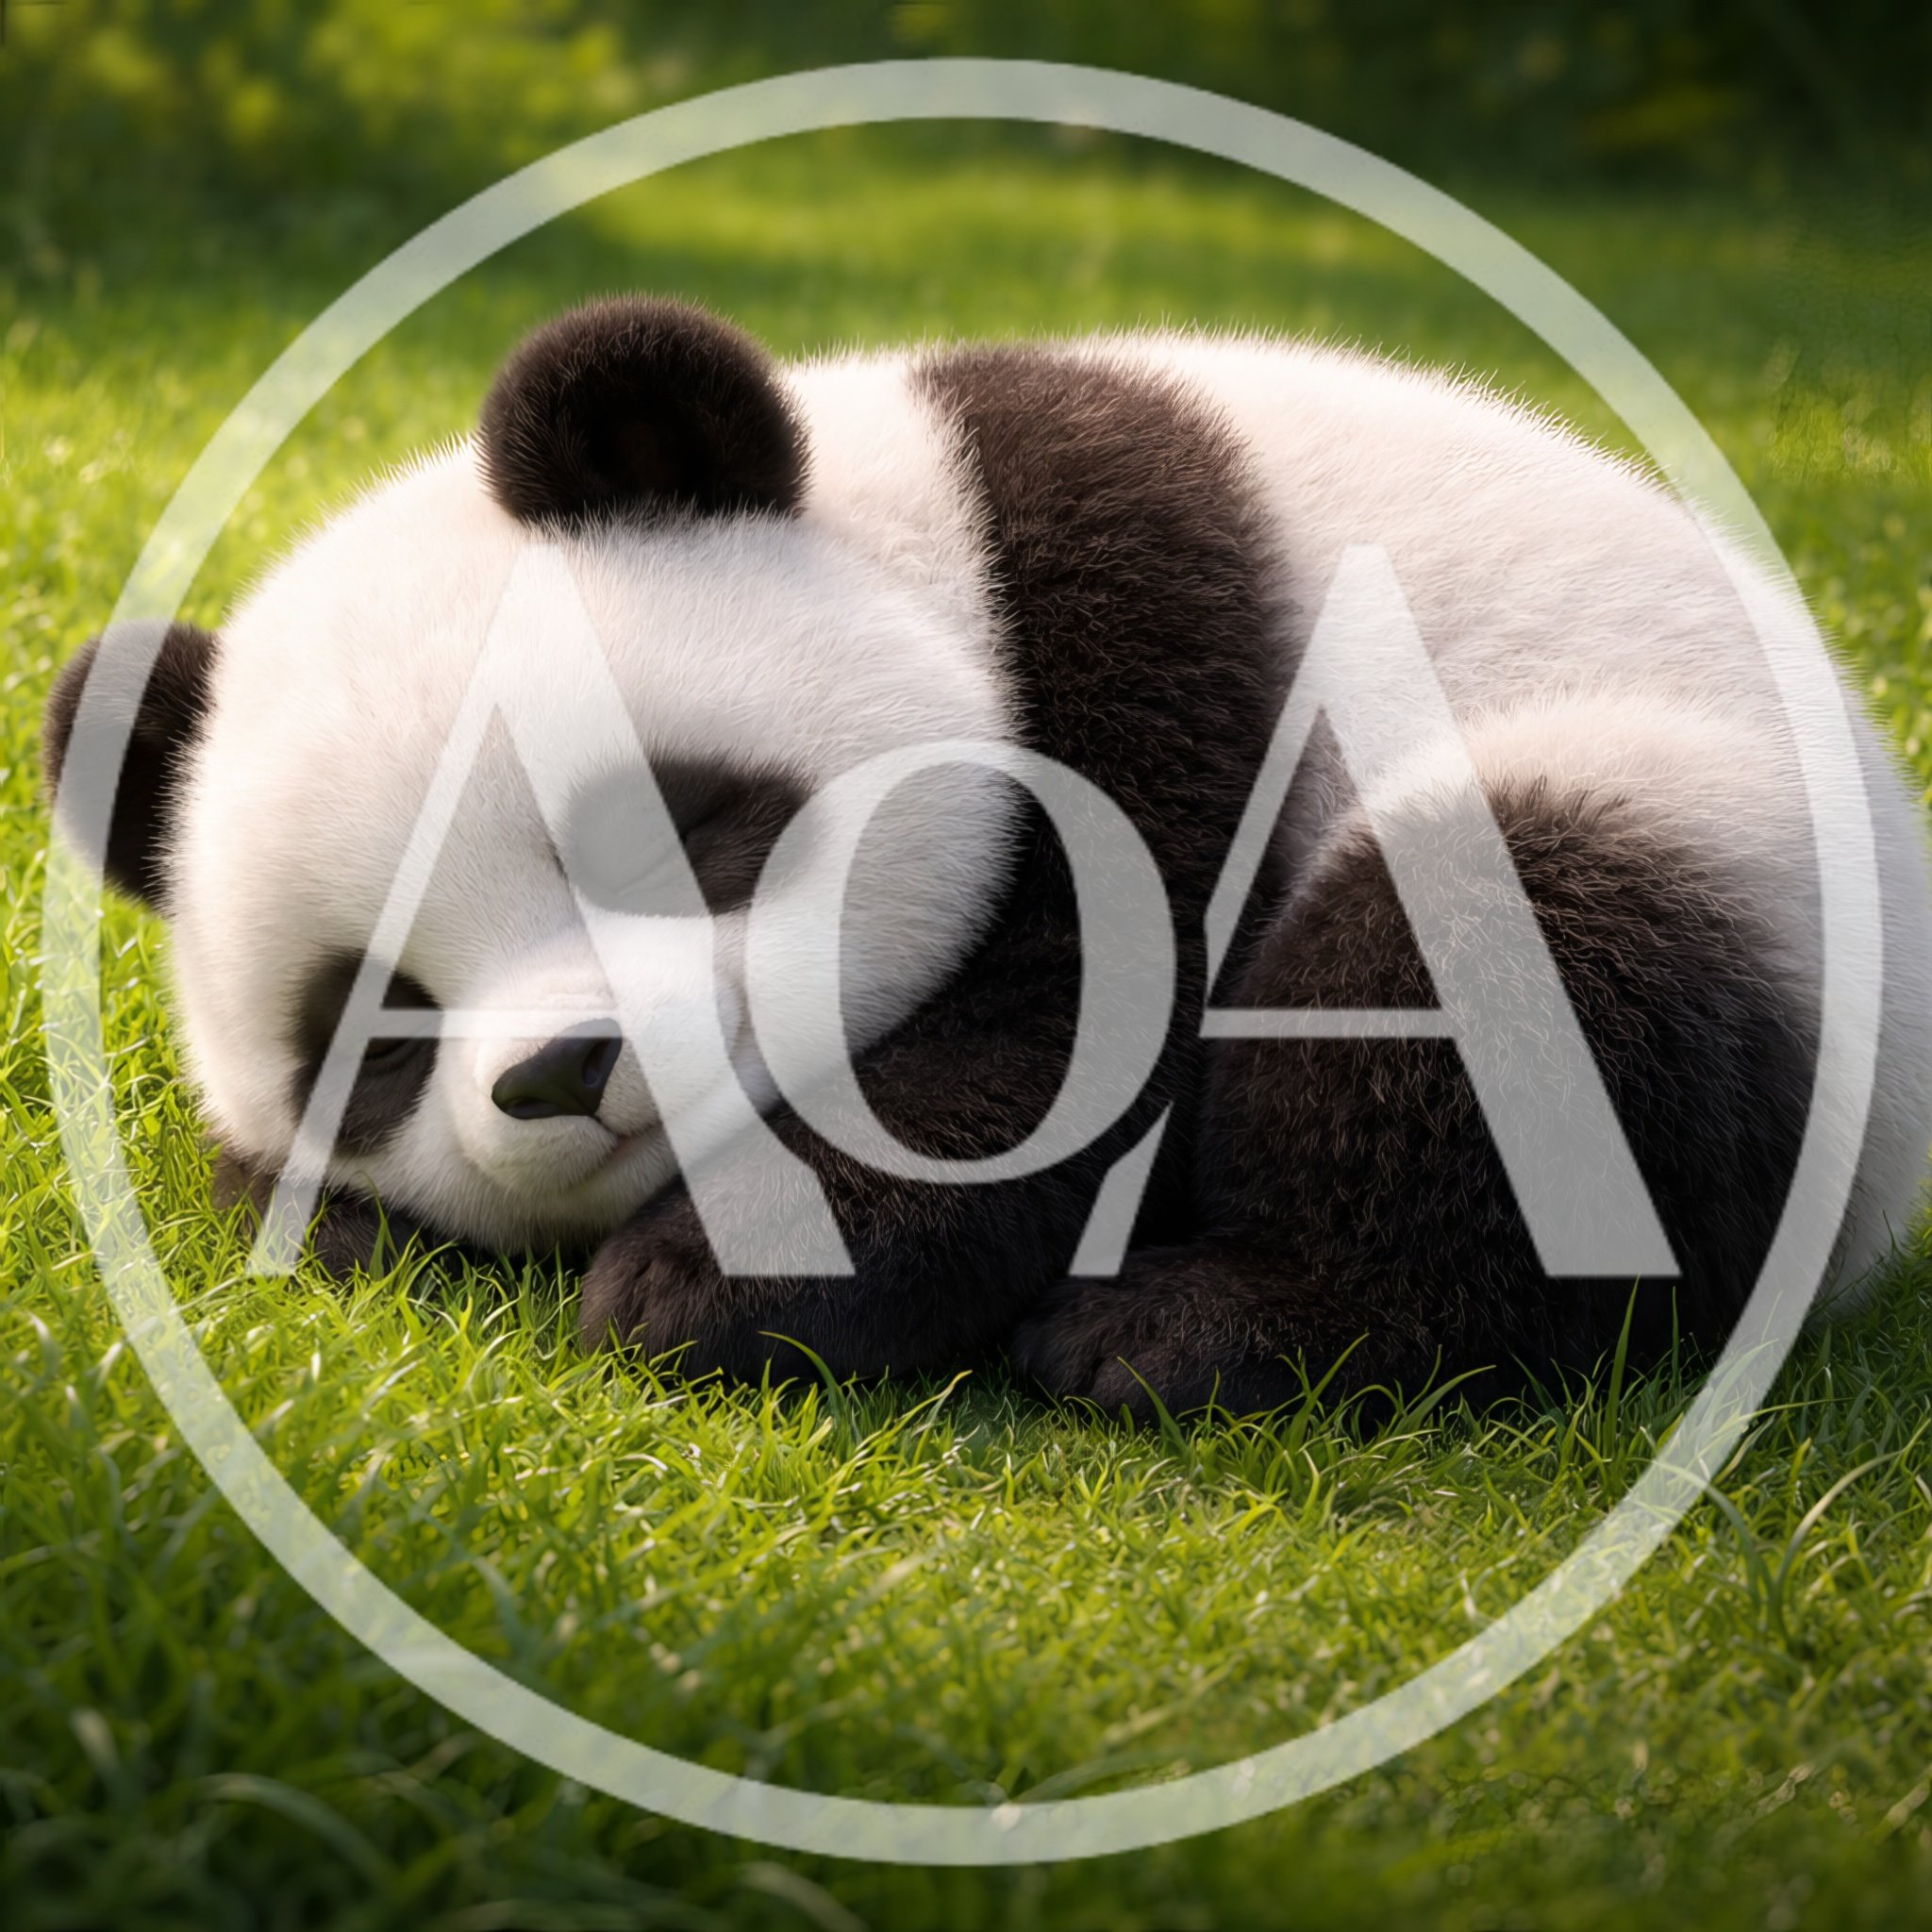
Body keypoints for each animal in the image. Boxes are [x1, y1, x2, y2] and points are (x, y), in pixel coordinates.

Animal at [42, 296, 1932, 1418]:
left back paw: (1193, 1327)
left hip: (1709, 846)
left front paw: (704, 1282)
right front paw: (324, 1219)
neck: (919, 521)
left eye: (682, 828)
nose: (565, 1071)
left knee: (1503, 988)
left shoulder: (1135, 631)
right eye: (377, 1027)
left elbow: (1066, 1039)